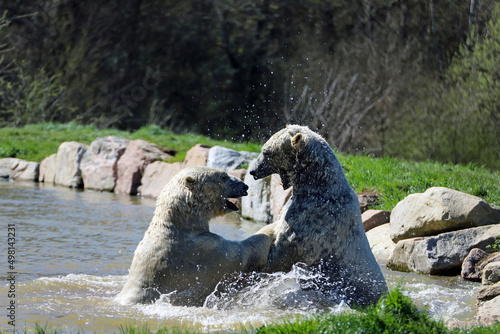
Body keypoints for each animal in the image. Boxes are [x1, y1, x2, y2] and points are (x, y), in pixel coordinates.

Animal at [114, 166, 274, 306]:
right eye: (223, 176)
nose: (245, 186)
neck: (179, 224)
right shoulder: (202, 251)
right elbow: (243, 254)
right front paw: (272, 228)